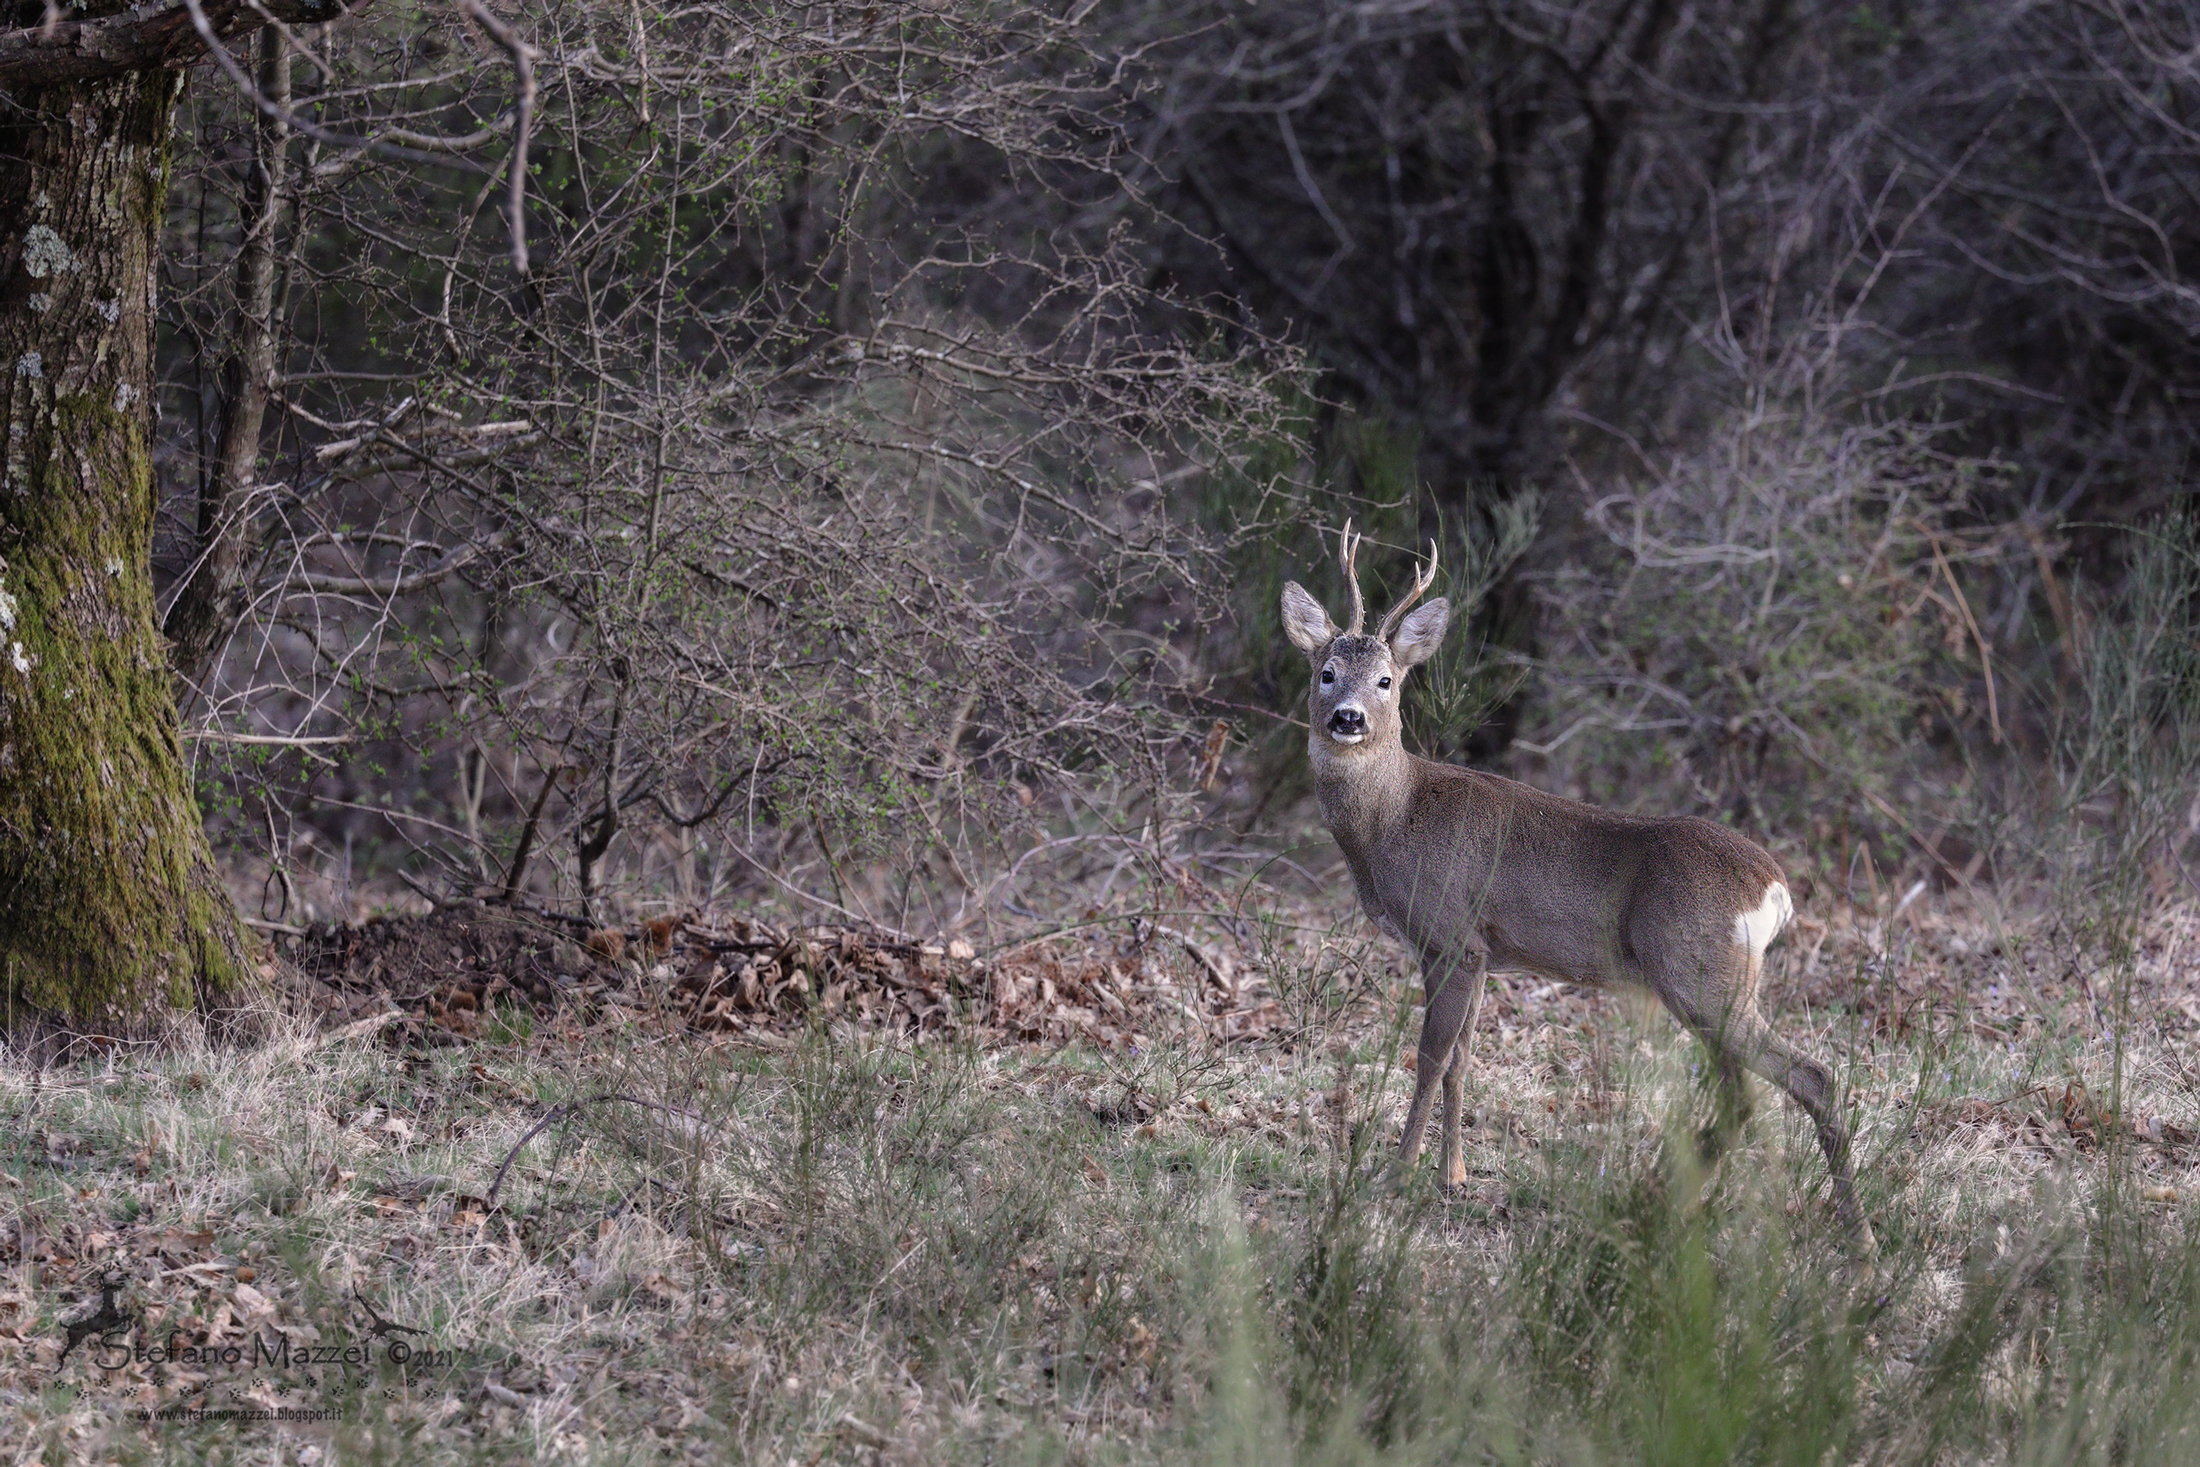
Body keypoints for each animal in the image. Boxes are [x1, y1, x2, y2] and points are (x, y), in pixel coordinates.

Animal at [1281, 523, 1871, 1245]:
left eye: (1388, 680)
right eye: (1326, 671)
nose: (1348, 718)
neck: (1393, 818)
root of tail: (1774, 888)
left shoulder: (1448, 934)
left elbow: (1429, 1057)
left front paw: (1396, 1176)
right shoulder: (1484, 951)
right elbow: (1463, 1059)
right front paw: (1454, 1176)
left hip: (1698, 971)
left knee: (1804, 1076)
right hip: (1723, 981)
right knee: (1753, 1092)